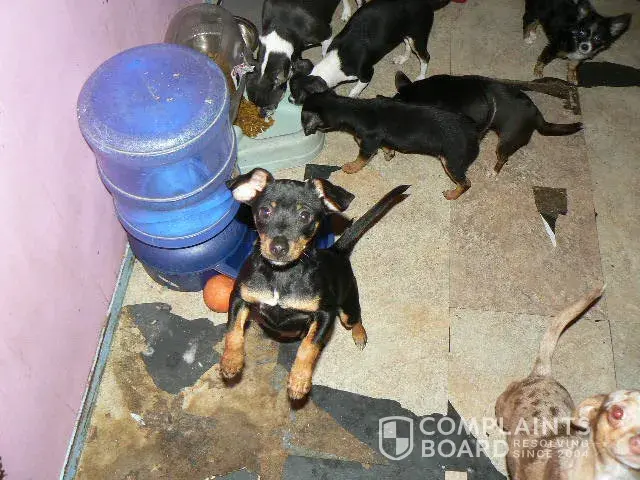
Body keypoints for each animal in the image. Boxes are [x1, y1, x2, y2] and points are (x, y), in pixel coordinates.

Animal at [220, 168, 409, 400]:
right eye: (265, 211)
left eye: (304, 215)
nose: (278, 248)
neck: (281, 274)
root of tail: (336, 251)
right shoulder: (240, 298)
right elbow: (233, 331)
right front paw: (231, 362)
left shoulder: (325, 314)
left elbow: (309, 347)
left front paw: (299, 381)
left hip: (347, 309)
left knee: (355, 319)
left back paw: (359, 335)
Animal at [289, 0, 440, 105]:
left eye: (299, 94)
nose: (289, 100)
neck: (338, 61)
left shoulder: (367, 74)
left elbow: (354, 90)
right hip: (405, 34)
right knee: (407, 45)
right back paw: (403, 58)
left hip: (418, 37)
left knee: (425, 57)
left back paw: (421, 76)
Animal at [301, 90, 480, 200]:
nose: (305, 130)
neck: (353, 110)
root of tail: (475, 133)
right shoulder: (380, 140)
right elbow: (386, 146)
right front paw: (389, 154)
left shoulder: (367, 144)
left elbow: (360, 160)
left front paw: (351, 167)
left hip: (452, 163)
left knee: (466, 183)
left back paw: (452, 194)